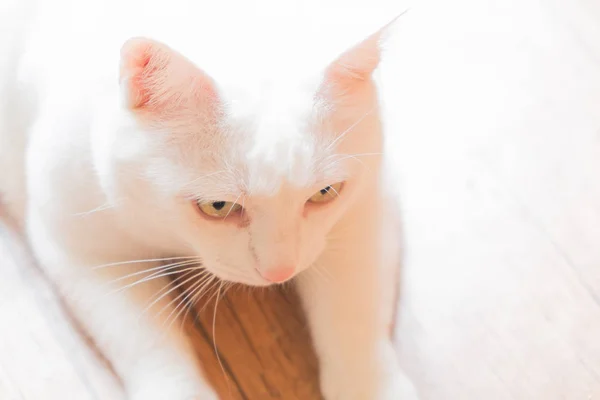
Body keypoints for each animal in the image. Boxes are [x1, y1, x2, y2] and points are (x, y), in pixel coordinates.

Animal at [1, 0, 418, 398]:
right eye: (217, 207)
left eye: (324, 193)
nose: (279, 272)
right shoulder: (81, 246)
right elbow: (143, 342)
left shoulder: (367, 206)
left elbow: (353, 313)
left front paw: (371, 385)